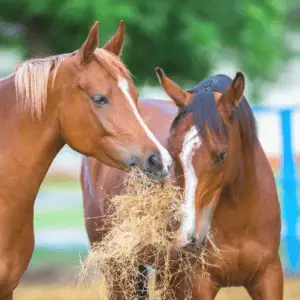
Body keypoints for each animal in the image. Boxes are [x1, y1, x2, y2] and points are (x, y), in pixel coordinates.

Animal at [81, 69, 282, 298]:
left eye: (222, 155)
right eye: (171, 152)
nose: (188, 237)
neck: (240, 222)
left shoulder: (269, 277)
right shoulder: (196, 284)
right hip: (120, 272)